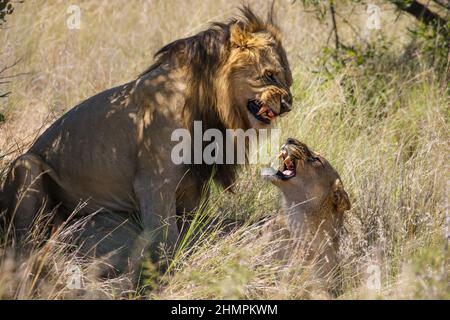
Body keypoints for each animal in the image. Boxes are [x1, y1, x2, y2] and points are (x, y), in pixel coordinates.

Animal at [0, 6, 294, 264]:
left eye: (288, 81)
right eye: (269, 76)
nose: (289, 103)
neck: (210, 104)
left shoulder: (193, 185)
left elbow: (193, 230)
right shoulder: (154, 182)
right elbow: (167, 237)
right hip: (26, 164)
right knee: (23, 238)